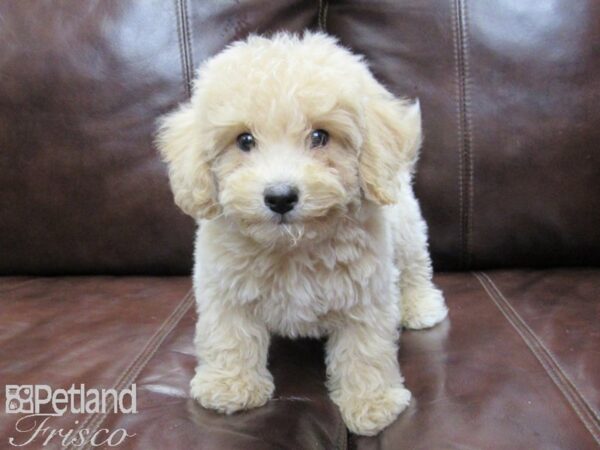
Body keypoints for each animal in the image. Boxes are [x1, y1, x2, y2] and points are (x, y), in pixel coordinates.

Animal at [157, 31, 448, 436]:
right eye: (244, 141)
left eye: (320, 136)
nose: (280, 197)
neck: (292, 246)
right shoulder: (224, 286)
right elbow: (229, 333)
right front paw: (230, 385)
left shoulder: (367, 294)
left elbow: (365, 349)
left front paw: (372, 403)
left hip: (406, 229)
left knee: (415, 268)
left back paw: (420, 306)